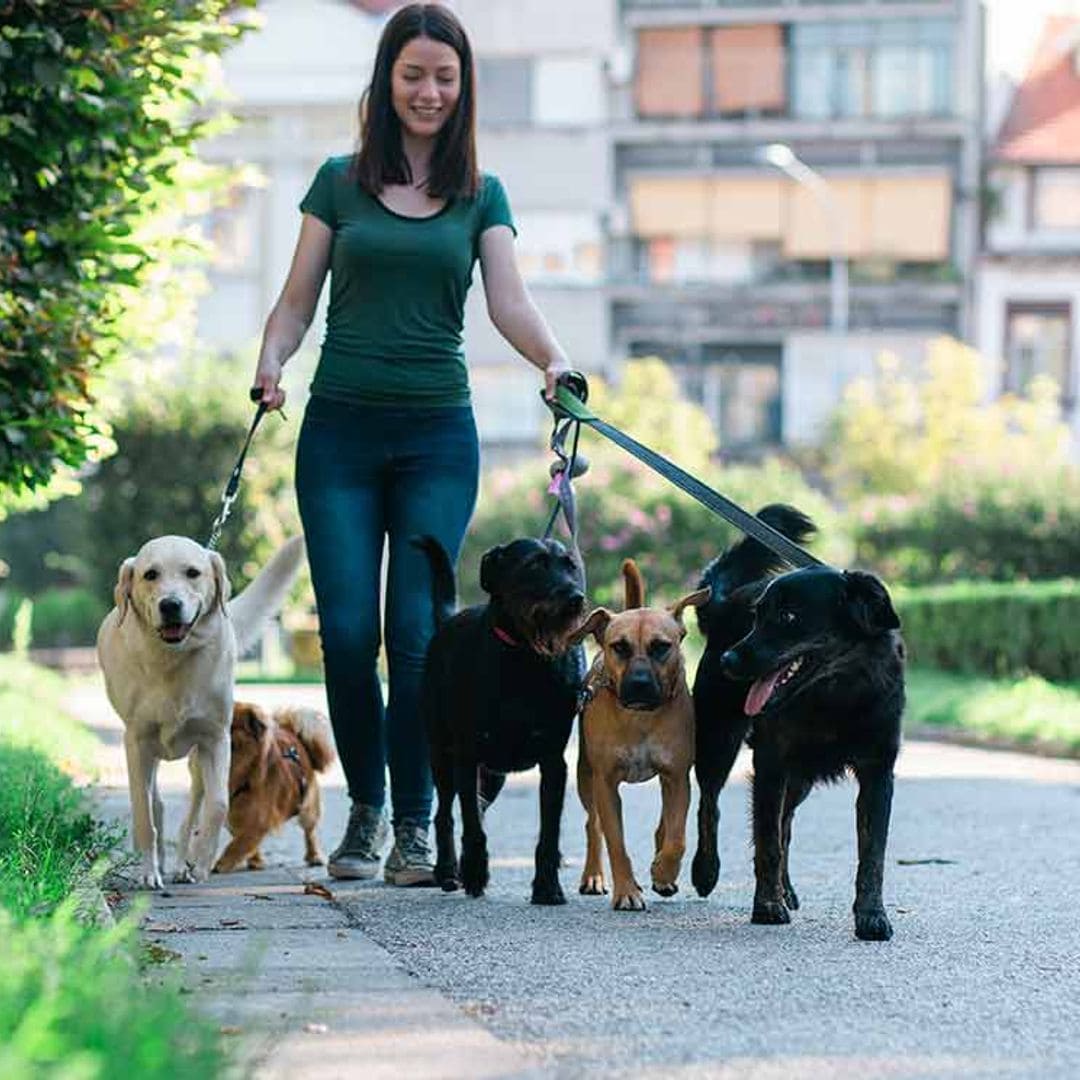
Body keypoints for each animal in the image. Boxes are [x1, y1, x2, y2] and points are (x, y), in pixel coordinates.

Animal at [212, 704, 334, 872]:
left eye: (230, 724)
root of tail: (292, 732)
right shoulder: (233, 815)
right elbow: (243, 840)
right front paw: (254, 859)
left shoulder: (259, 819)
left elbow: (237, 844)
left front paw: (222, 863)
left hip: (308, 808)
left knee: (310, 832)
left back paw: (314, 856)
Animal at [412, 537, 587, 902]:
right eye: (534, 565)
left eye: (570, 565)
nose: (575, 598)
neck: (524, 658)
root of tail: (448, 620)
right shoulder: (466, 756)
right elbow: (471, 826)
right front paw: (475, 872)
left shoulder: (554, 762)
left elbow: (549, 832)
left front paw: (547, 886)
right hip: (442, 756)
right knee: (446, 814)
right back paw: (448, 870)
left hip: (493, 775)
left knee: (477, 805)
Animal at [574, 565, 708, 911]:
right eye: (619, 646)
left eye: (661, 646)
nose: (639, 683)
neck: (640, 718)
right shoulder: (605, 782)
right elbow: (616, 842)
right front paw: (627, 891)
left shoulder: (677, 776)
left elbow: (676, 836)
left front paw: (663, 872)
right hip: (585, 775)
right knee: (592, 825)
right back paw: (593, 876)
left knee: (663, 825)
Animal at [691, 503, 902, 937]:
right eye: (757, 616)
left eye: (788, 616)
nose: (729, 661)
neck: (834, 696)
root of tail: (724, 604)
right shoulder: (770, 765)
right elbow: (767, 843)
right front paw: (767, 906)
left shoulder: (877, 774)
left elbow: (872, 855)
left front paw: (872, 915)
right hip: (719, 741)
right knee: (709, 802)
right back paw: (705, 870)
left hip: (800, 778)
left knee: (786, 824)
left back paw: (786, 888)